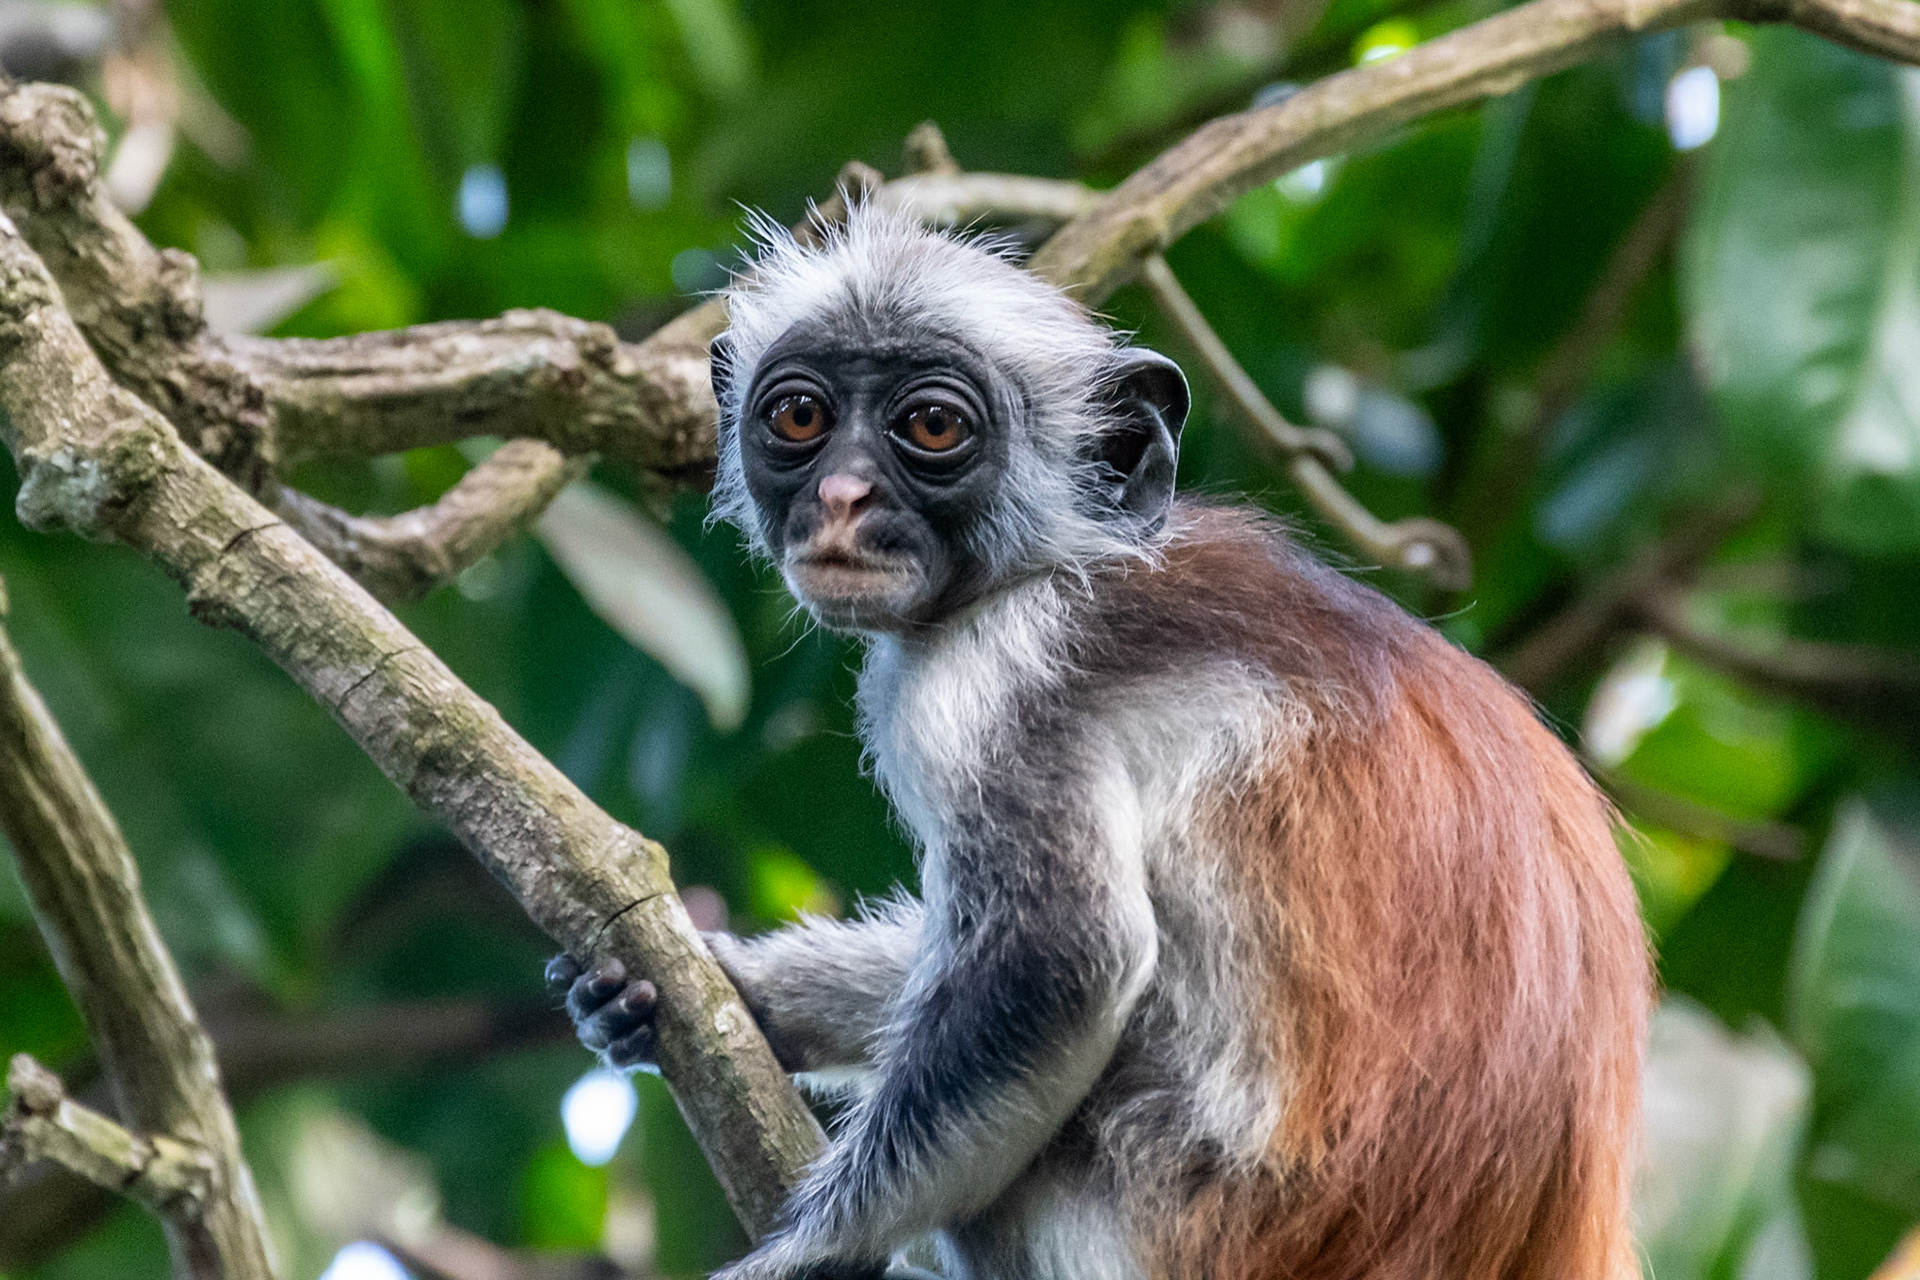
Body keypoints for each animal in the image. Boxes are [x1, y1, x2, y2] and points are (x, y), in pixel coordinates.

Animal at [550, 205, 1650, 1280]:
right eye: (800, 418)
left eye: (933, 426)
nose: (843, 498)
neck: (1055, 558)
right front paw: (738, 989)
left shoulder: (985, 682)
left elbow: (1063, 962)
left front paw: (807, 1253)